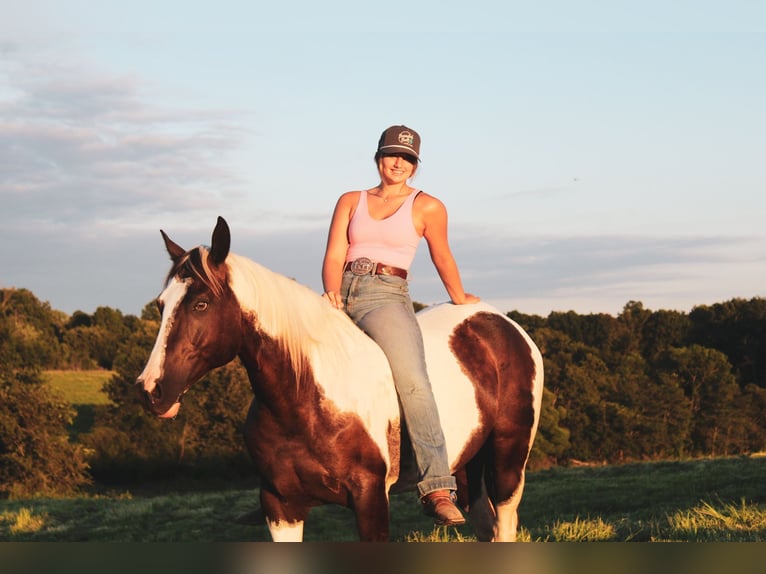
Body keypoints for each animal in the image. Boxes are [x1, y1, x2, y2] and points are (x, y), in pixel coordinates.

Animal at [136, 216, 544, 542]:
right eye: (161, 304)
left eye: (200, 304)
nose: (150, 391)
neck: (308, 398)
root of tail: (500, 323)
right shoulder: (281, 508)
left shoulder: (370, 501)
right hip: (468, 467)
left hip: (508, 464)